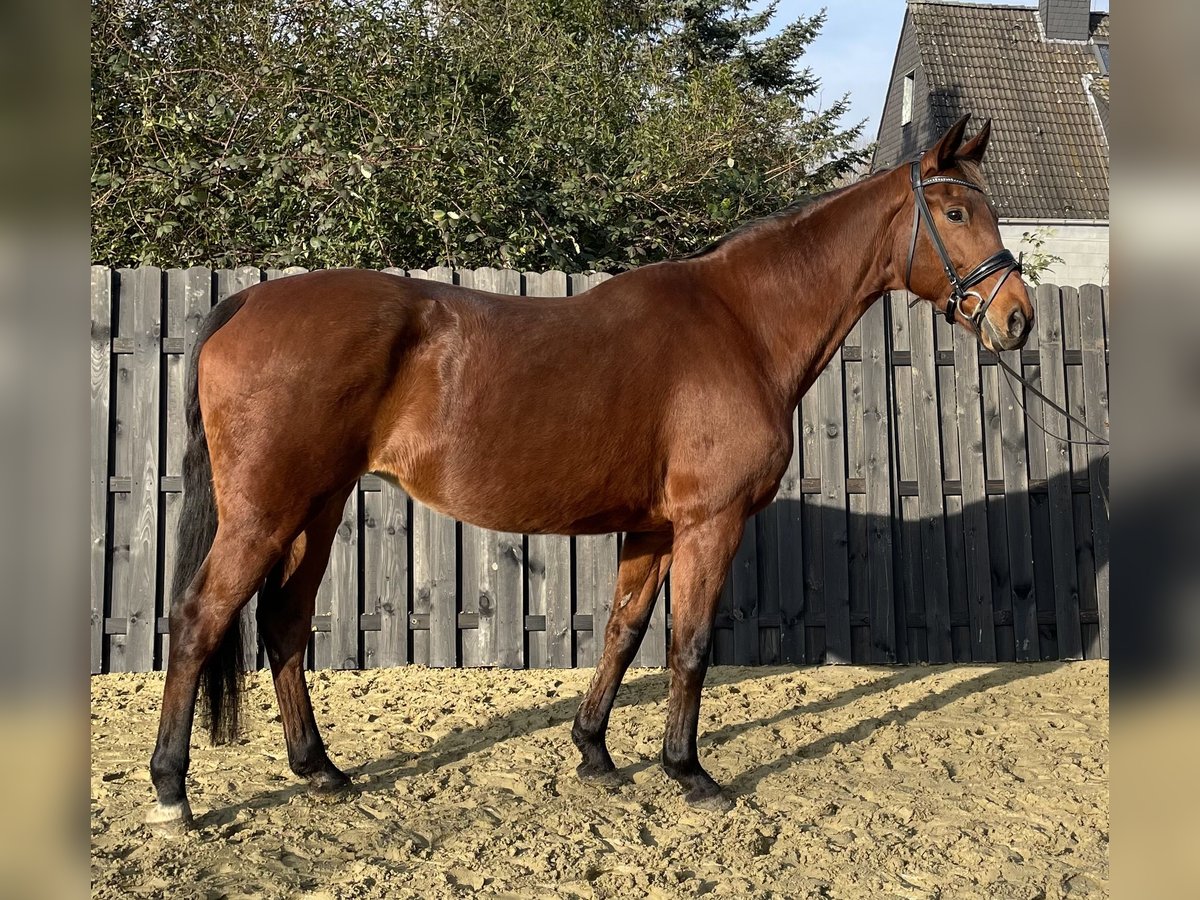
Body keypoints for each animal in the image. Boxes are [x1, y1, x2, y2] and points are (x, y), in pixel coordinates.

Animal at [147, 116, 1032, 835]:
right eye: (956, 212)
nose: (1016, 316)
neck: (741, 325)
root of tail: (244, 304)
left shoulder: (654, 528)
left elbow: (624, 631)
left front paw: (594, 752)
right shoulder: (710, 522)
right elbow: (690, 644)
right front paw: (688, 771)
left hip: (318, 508)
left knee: (284, 625)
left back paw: (320, 770)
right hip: (264, 514)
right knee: (197, 620)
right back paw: (171, 793)